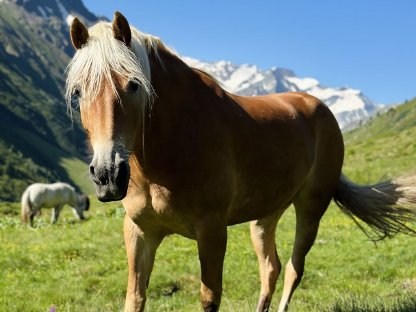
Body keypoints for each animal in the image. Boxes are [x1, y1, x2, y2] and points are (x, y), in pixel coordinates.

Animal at [66, 12, 416, 312]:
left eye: (133, 84)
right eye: (79, 92)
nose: (107, 175)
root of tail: (319, 108)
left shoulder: (212, 231)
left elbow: (209, 298)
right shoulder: (139, 232)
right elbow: (135, 298)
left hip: (311, 209)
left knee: (294, 269)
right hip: (266, 215)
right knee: (271, 267)